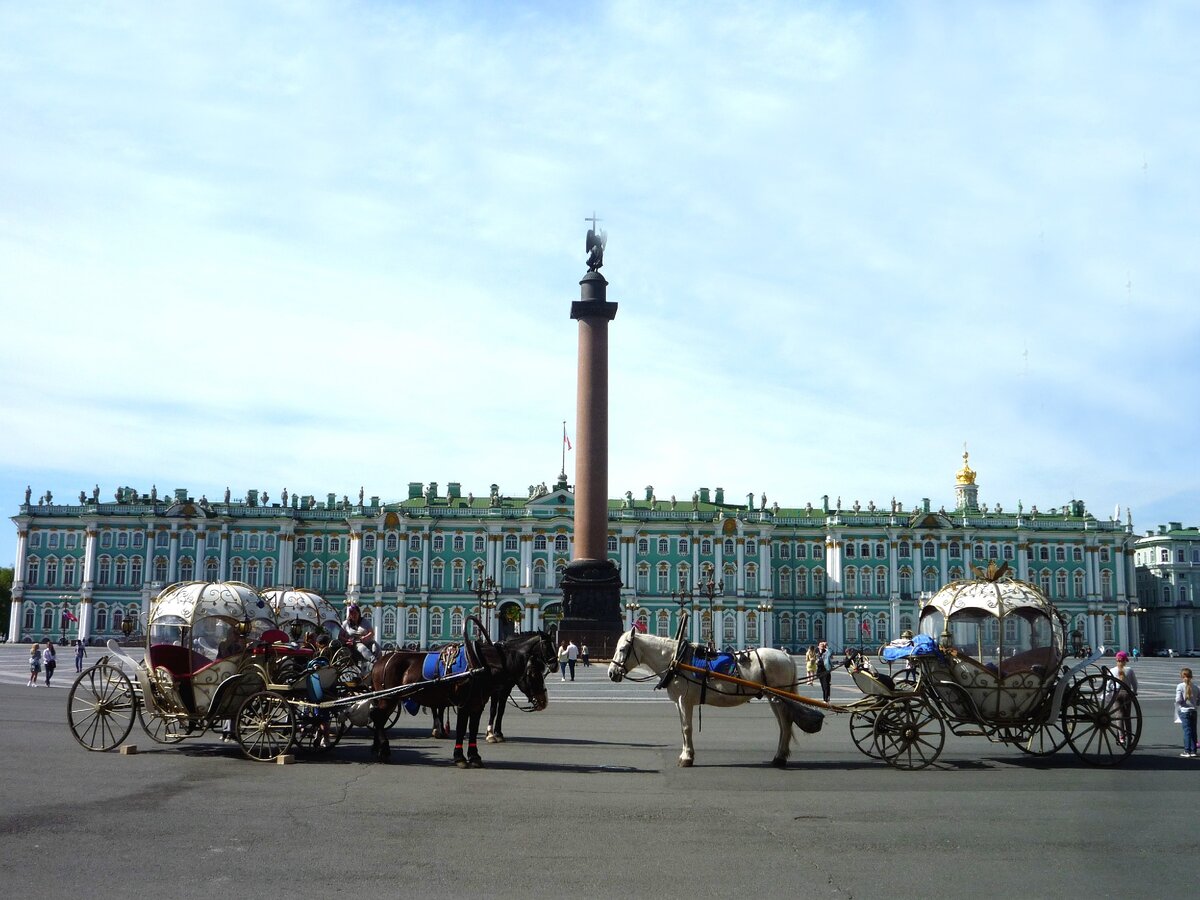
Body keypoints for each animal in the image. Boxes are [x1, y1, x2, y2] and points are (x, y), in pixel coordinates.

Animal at [369, 628, 552, 768]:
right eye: (533, 674)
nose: (544, 701)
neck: (481, 665)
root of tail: (381, 660)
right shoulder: (465, 704)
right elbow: (463, 728)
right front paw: (460, 757)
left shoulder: (478, 704)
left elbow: (474, 728)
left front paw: (475, 756)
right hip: (389, 698)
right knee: (378, 717)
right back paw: (384, 750)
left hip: (390, 699)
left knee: (377, 717)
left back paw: (377, 748)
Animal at [609, 628, 825, 768]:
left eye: (622, 649)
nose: (612, 673)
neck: (676, 659)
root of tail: (786, 656)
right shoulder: (679, 703)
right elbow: (683, 728)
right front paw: (686, 755)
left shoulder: (685, 701)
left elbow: (687, 728)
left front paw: (686, 758)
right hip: (776, 697)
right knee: (784, 724)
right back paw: (779, 757)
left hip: (777, 696)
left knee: (786, 724)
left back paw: (779, 758)